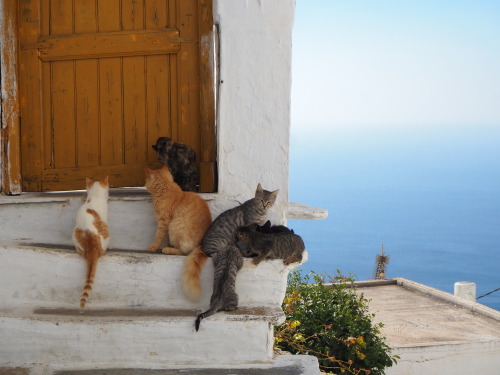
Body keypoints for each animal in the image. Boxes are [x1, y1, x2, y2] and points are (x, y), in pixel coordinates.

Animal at [146, 166, 213, 302]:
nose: (144, 184)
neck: (166, 187)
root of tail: (203, 245)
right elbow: (165, 238)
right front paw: (164, 245)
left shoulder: (164, 222)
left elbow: (158, 237)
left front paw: (154, 247)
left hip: (175, 227)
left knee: (184, 252)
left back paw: (168, 250)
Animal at [194, 184, 280, 330]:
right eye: (261, 200)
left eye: (269, 201)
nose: (265, 206)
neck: (259, 212)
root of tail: (204, 245)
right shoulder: (252, 227)